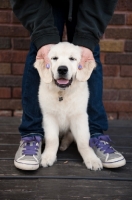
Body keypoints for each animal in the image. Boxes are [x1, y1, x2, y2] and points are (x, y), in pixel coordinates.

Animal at [34, 41, 102, 170]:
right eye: (54, 58)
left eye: (72, 59)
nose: (62, 69)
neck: (62, 93)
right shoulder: (49, 117)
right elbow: (52, 139)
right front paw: (48, 156)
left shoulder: (79, 116)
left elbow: (83, 141)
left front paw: (91, 159)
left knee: (70, 136)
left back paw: (64, 144)